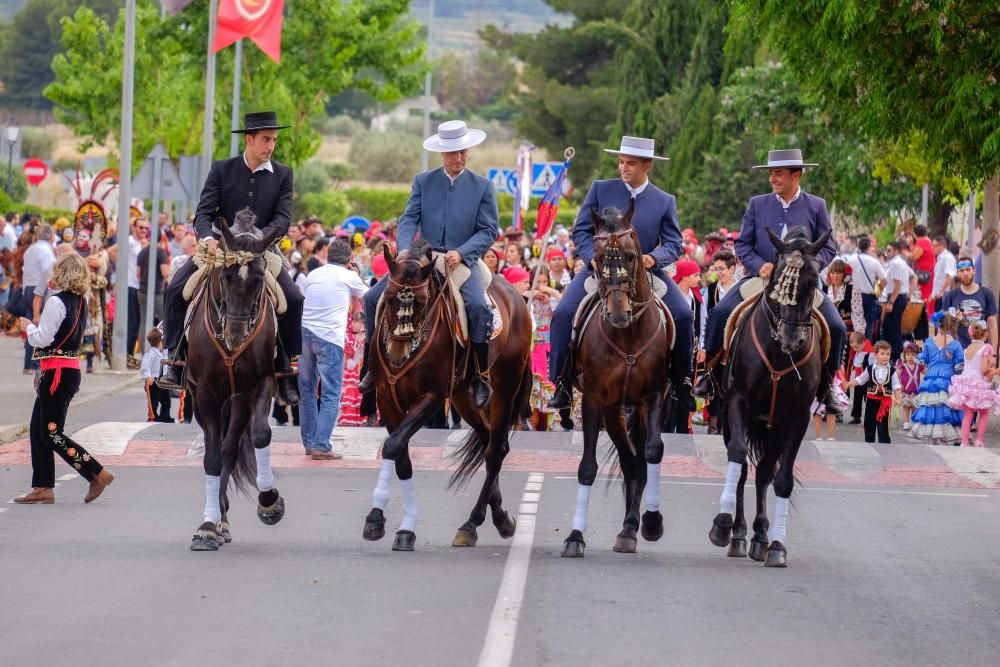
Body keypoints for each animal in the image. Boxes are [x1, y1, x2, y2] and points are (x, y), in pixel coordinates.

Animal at [186, 211, 288, 552]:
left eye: (258, 279)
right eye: (226, 276)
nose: (235, 335)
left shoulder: (258, 385)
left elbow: (260, 435)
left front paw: (269, 502)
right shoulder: (205, 392)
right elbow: (212, 459)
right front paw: (206, 527)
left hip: (238, 401)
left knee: (231, 448)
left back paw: (224, 518)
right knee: (218, 450)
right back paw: (217, 521)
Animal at [360, 240, 532, 552]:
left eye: (420, 301)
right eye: (389, 299)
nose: (397, 355)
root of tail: (518, 297)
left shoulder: (431, 398)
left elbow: (392, 446)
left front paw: (378, 518)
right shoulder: (386, 398)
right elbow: (400, 455)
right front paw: (398, 526)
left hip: (504, 392)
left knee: (494, 452)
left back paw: (472, 523)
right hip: (465, 400)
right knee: (491, 443)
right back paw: (500, 517)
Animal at [560, 204, 676, 560]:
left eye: (631, 255)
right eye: (597, 259)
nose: (617, 314)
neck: (628, 336)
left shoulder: (654, 396)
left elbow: (652, 452)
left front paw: (652, 521)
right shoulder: (596, 400)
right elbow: (588, 467)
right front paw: (575, 536)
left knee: (638, 460)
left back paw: (633, 527)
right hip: (614, 411)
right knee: (628, 460)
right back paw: (627, 529)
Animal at [708, 227, 832, 568]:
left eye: (813, 281)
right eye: (776, 278)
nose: (791, 338)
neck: (779, 354)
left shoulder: (797, 418)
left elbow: (782, 479)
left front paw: (776, 544)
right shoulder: (738, 403)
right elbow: (738, 457)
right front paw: (723, 524)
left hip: (774, 427)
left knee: (764, 471)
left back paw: (760, 536)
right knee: (743, 469)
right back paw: (737, 534)